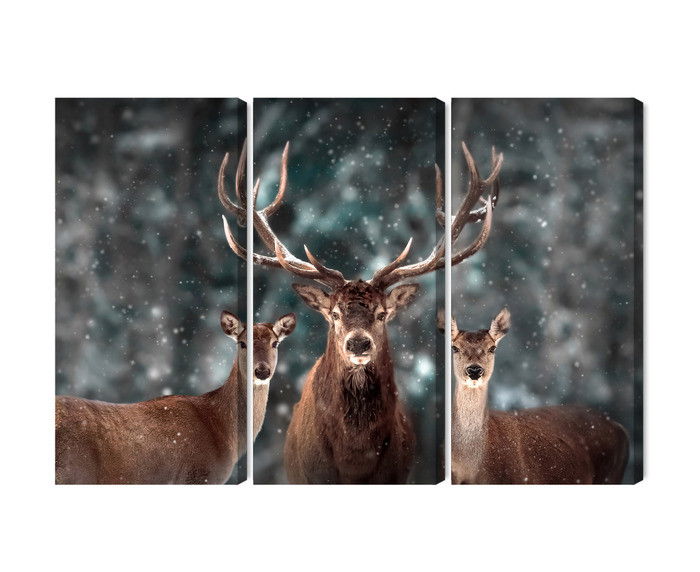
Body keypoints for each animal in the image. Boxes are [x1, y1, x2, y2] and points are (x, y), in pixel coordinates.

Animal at [55, 311, 296, 484]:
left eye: (275, 343)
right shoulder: (198, 475)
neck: (221, 429)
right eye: (243, 343)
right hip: (73, 471)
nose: (262, 371)